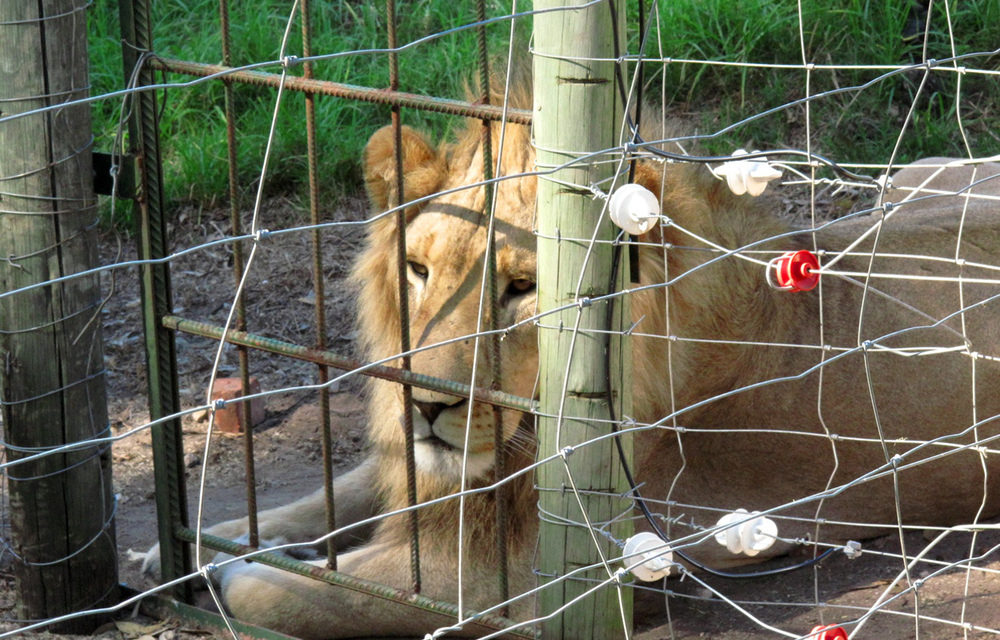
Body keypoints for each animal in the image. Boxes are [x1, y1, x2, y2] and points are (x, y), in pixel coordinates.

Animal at [145, 87, 1000, 636]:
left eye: (524, 287)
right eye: (418, 270)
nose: (426, 405)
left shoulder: (528, 579)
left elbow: (289, 591)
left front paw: (249, 566)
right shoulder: (433, 469)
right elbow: (325, 495)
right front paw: (187, 543)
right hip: (915, 176)